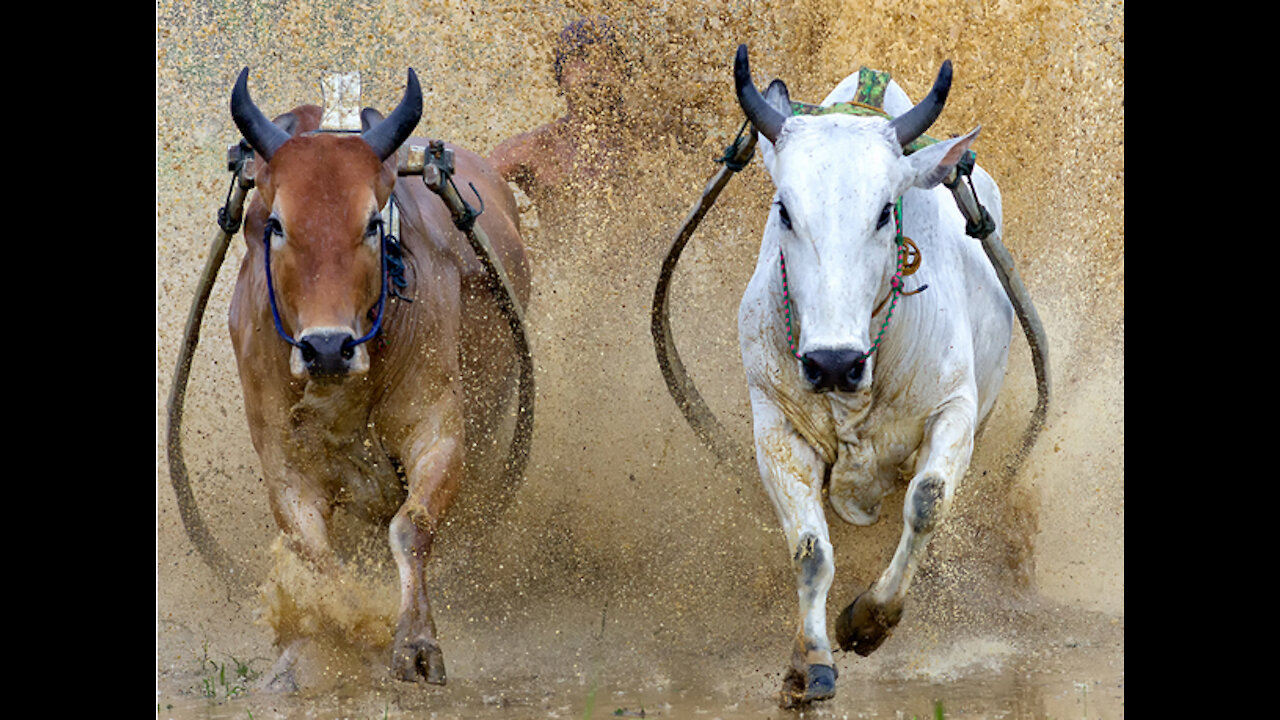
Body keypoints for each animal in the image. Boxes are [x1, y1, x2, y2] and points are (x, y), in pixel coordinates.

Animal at [230, 68, 529, 681]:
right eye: (276, 224)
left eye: (372, 223)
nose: (327, 349)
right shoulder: (282, 462)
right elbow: (318, 558)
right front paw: (334, 637)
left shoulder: (437, 430)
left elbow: (411, 528)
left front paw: (416, 642)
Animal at [737, 44, 1013, 702]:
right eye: (784, 210)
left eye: (886, 211)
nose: (834, 363)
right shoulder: (774, 425)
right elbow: (810, 550)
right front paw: (811, 661)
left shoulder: (956, 410)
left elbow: (928, 503)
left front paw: (868, 620)